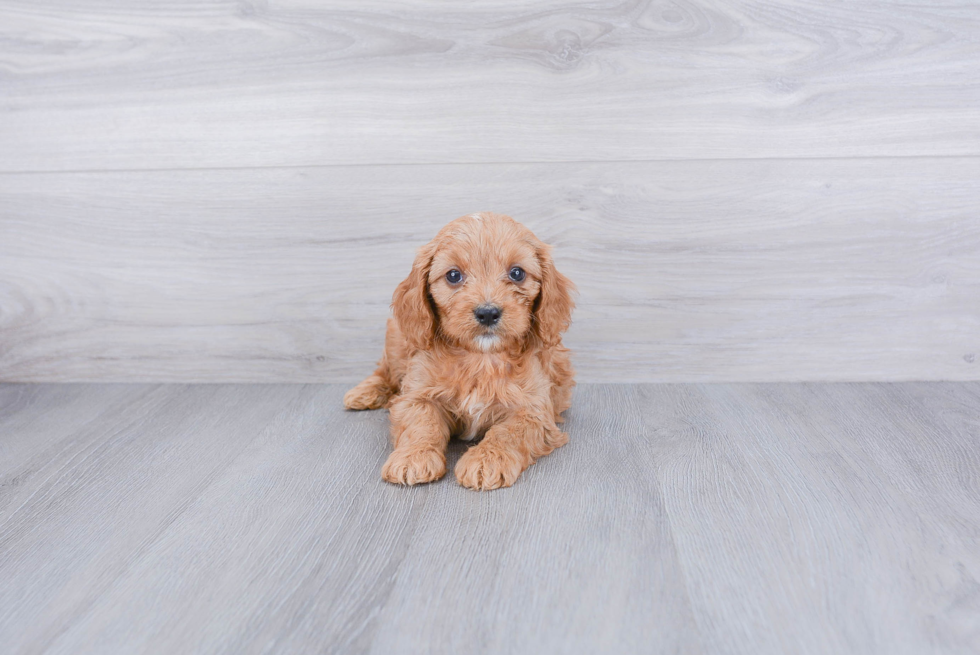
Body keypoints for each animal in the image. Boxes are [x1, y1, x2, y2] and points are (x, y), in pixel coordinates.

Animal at [344, 214, 576, 492]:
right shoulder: (418, 394)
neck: (481, 358)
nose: (487, 313)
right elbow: (422, 422)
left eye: (517, 273)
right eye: (453, 275)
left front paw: (487, 460)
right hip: (398, 337)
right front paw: (413, 457)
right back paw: (364, 392)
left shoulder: (533, 409)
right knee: (385, 370)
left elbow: (508, 431)